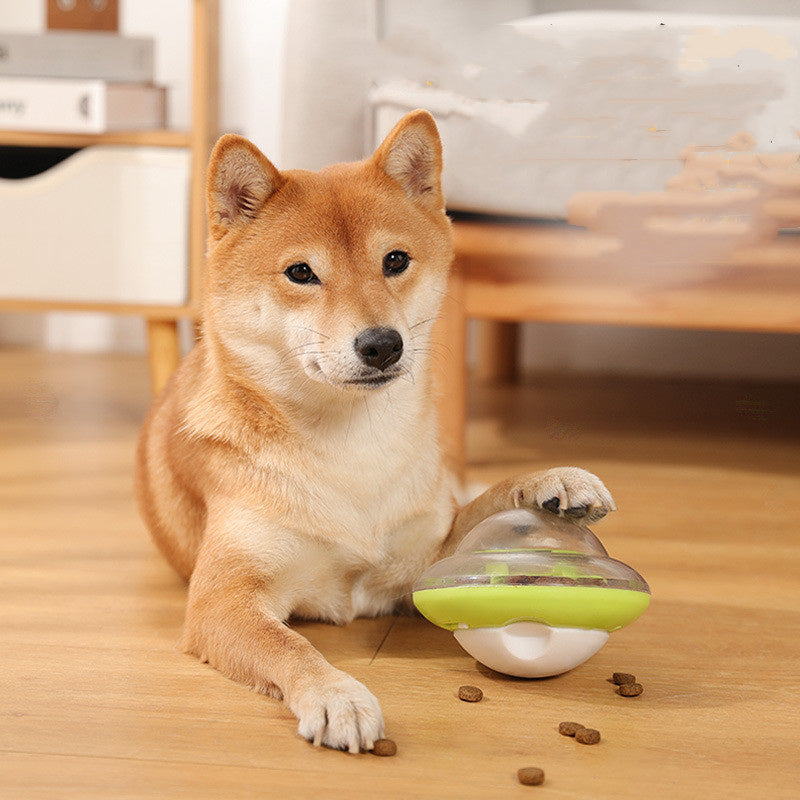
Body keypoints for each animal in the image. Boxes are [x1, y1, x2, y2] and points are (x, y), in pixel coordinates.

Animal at [134, 109, 616, 752]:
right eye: (301, 273)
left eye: (394, 261)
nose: (382, 344)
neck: (351, 447)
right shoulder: (224, 598)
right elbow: (288, 644)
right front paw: (336, 693)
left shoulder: (423, 560)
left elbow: (477, 510)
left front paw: (548, 482)